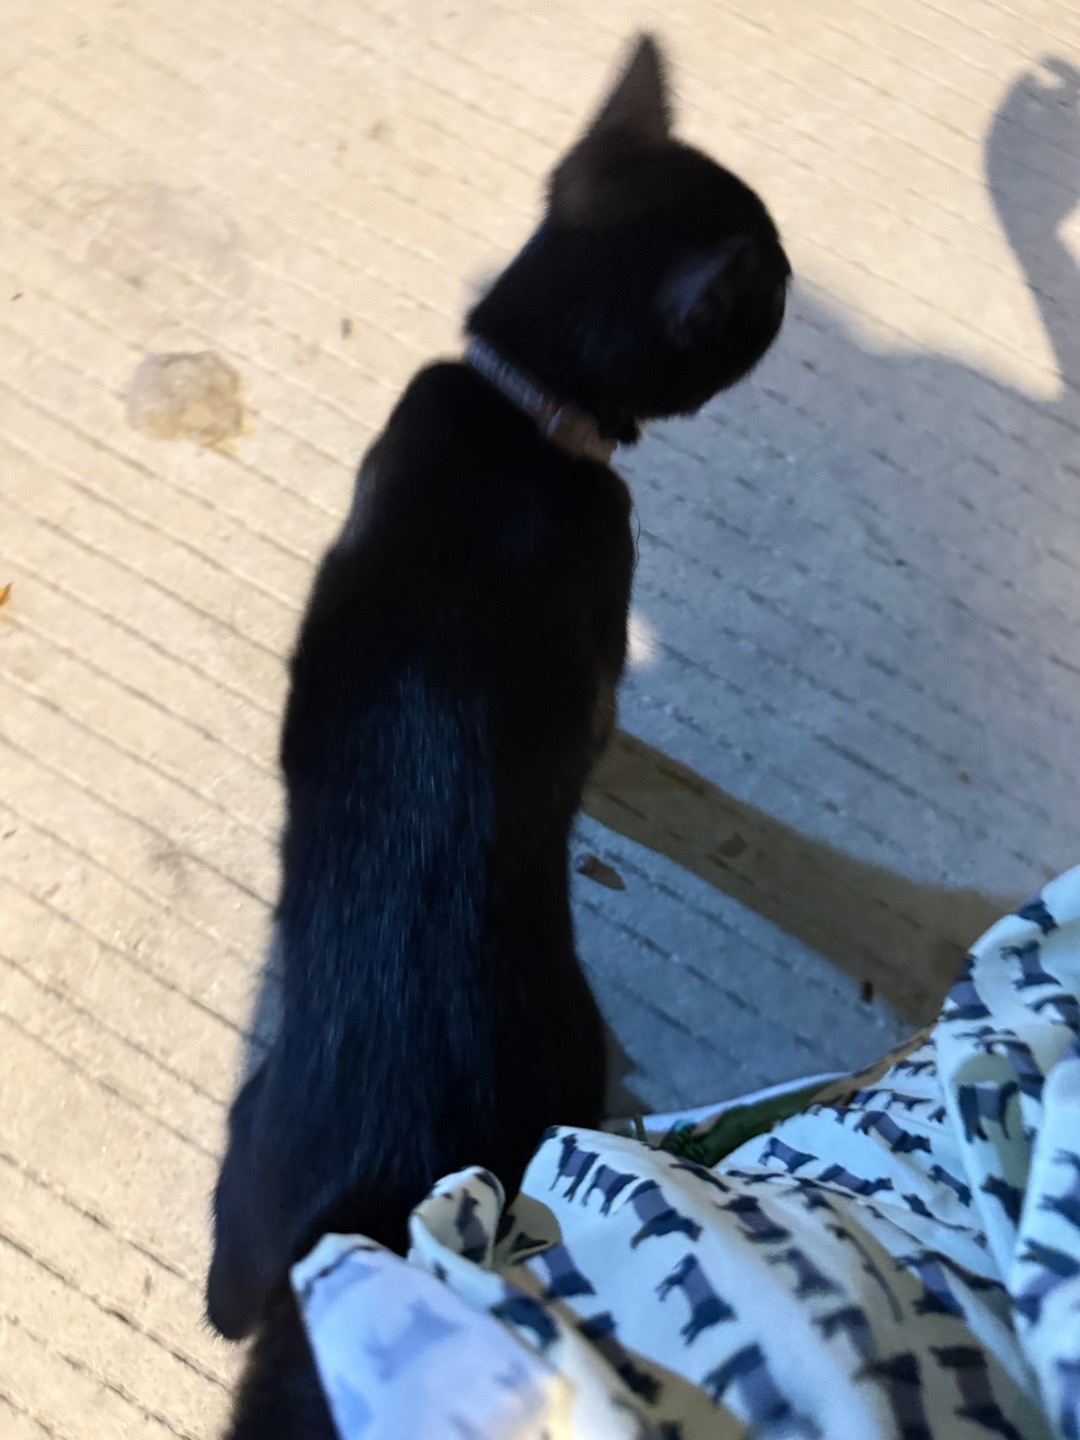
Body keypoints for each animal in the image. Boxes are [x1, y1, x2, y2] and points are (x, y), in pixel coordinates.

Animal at [207, 32, 789, 1438]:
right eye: (769, 289)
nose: (799, 281)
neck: (522, 407)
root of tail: (373, 1209)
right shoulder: (603, 619)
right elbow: (611, 720)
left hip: (242, 1168)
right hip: (566, 1071)